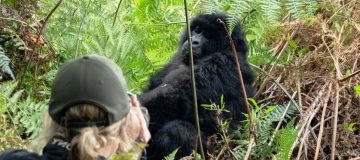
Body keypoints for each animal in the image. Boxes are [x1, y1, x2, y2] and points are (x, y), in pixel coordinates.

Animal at [138, 12, 253, 160]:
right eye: (197, 30)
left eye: (208, 35)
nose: (194, 41)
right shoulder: (175, 59)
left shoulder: (222, 63)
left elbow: (173, 99)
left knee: (178, 131)